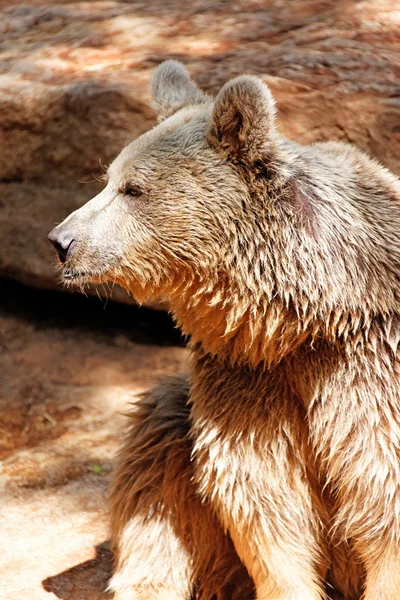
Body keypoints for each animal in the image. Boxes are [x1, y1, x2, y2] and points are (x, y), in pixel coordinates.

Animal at [49, 62, 400, 600]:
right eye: (107, 180)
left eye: (133, 189)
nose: (61, 240)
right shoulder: (244, 378)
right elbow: (259, 493)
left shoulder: (368, 366)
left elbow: (380, 487)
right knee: (156, 461)